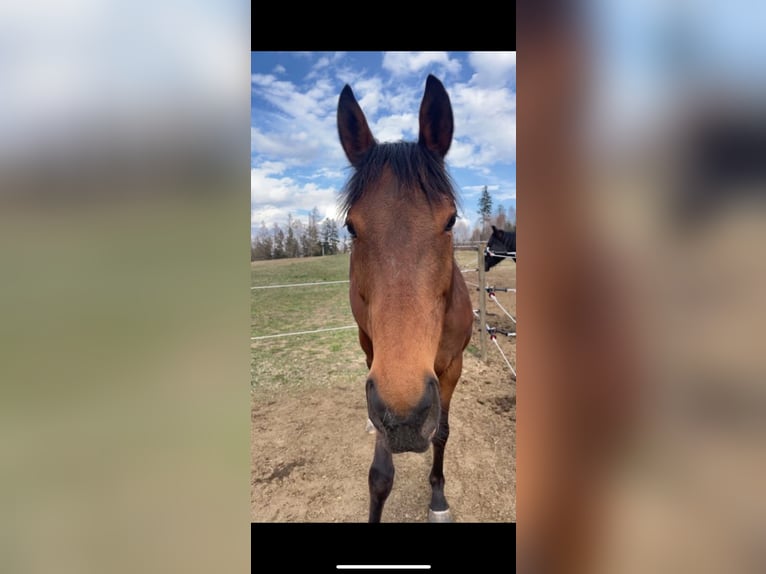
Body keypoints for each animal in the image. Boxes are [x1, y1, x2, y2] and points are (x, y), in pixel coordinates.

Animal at [337, 74, 474, 523]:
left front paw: (438, 498)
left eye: (450, 220)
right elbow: (380, 475)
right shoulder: (380, 380)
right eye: (351, 227)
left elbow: (443, 432)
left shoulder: (451, 368)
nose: (406, 418)